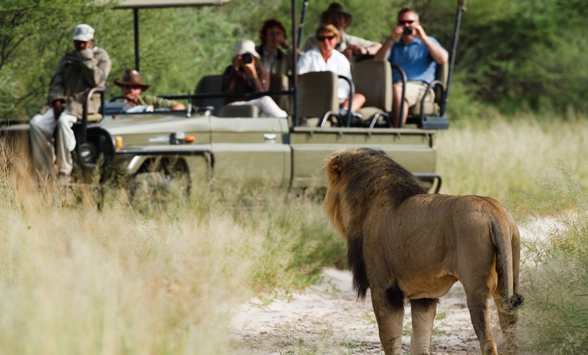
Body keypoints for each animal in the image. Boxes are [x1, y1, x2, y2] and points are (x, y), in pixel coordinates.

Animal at [326, 148, 524, 355]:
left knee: (488, 341)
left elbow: (390, 339)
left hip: (476, 288)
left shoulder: (383, 288)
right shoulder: (424, 295)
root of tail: (494, 212)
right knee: (510, 332)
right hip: (508, 280)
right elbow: (420, 340)